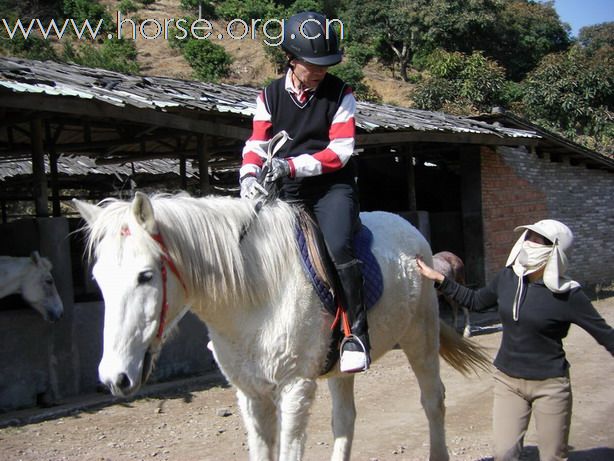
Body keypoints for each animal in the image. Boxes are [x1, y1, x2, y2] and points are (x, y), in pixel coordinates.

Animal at [74, 192, 490, 460]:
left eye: (145, 276)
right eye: (97, 279)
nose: (115, 377)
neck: (256, 295)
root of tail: (411, 231)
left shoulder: (294, 389)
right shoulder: (251, 394)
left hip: (421, 337)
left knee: (433, 400)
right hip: (343, 366)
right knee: (345, 420)